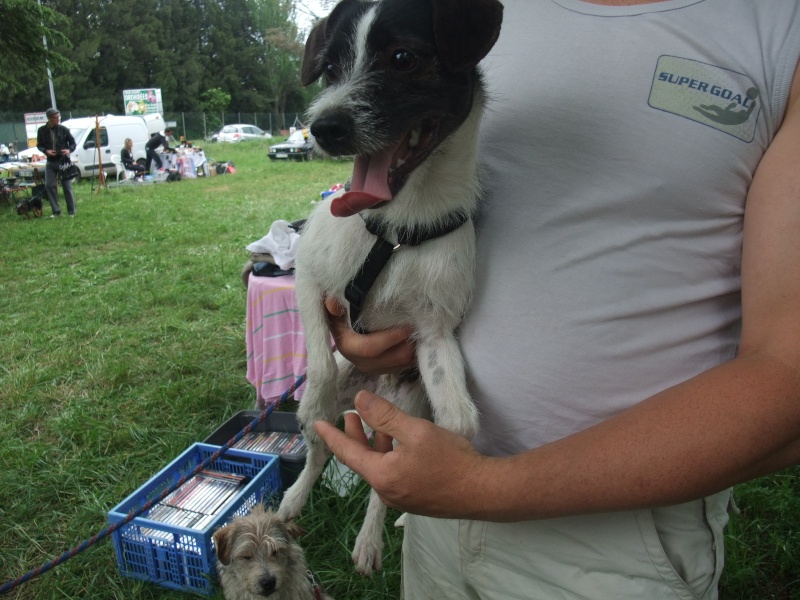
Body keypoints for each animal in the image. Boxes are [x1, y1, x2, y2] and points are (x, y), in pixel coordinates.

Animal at [278, 0, 504, 576]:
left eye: (403, 58)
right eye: (330, 69)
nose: (323, 128)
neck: (400, 226)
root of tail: (370, 390)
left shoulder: (434, 335)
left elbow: (460, 422)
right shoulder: (308, 277)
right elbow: (316, 359)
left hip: (404, 403)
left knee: (381, 475)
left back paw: (372, 538)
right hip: (341, 383)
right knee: (317, 443)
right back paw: (293, 499)